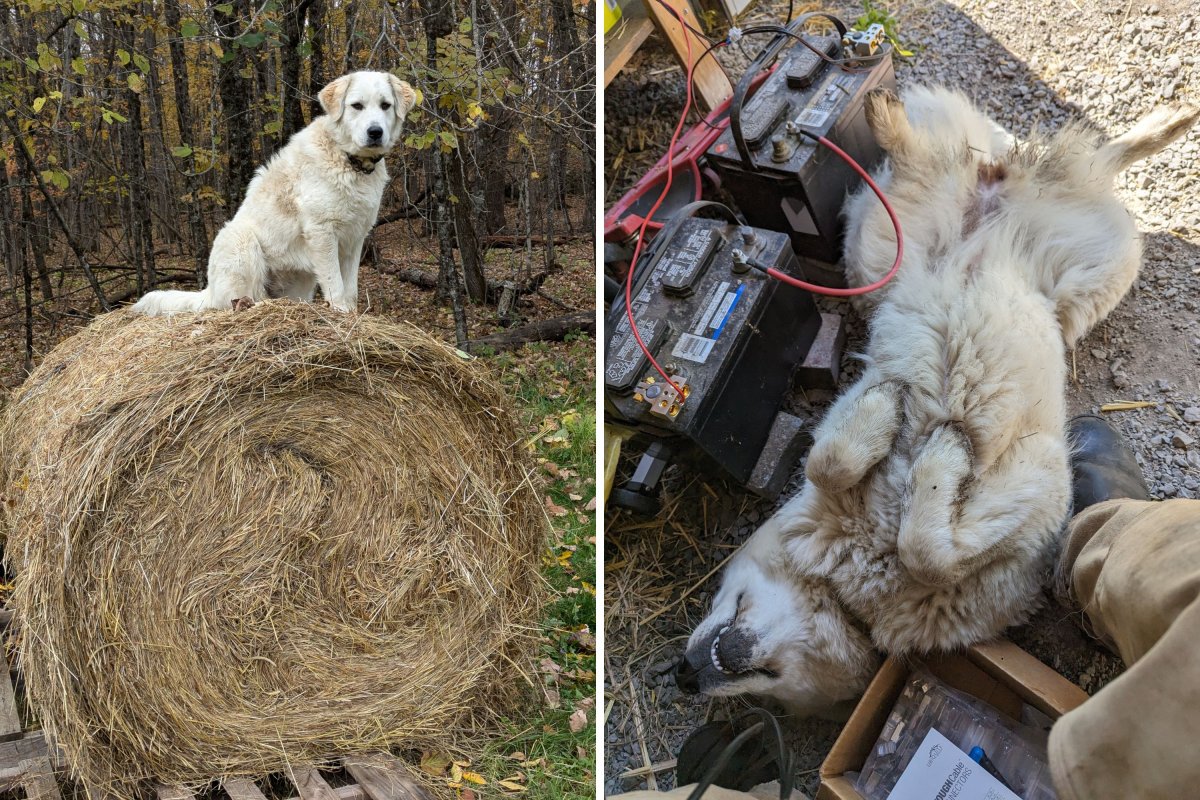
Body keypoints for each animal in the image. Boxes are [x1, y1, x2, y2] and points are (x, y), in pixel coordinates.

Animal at [132, 71, 417, 316]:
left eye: (385, 105)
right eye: (357, 106)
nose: (375, 132)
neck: (349, 161)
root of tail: (209, 291)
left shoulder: (355, 238)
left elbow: (351, 289)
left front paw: (352, 315)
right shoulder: (322, 233)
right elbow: (335, 285)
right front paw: (341, 313)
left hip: (300, 280)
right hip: (241, 241)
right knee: (242, 299)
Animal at [676, 87, 1200, 714]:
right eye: (773, 695)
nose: (687, 672)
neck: (852, 583)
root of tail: (996, 189)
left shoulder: (1040, 483)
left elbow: (919, 542)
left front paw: (924, 438)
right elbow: (841, 470)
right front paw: (895, 418)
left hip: (1086, 262)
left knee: (1102, 158)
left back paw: (1171, 120)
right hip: (888, 247)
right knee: (988, 160)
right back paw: (887, 114)